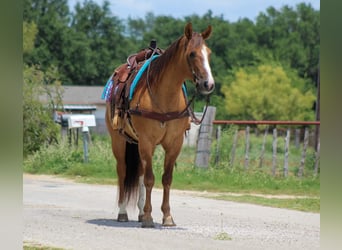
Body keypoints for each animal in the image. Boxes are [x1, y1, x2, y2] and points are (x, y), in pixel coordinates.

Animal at [104, 22, 215, 228]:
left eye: (209, 53)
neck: (164, 98)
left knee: (139, 172)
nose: (208, 84)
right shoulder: (147, 141)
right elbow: (149, 179)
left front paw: (167, 216)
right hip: (119, 141)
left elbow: (166, 179)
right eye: (192, 54)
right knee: (122, 171)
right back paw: (123, 212)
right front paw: (149, 217)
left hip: (137, 143)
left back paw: (139, 212)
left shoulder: (174, 144)